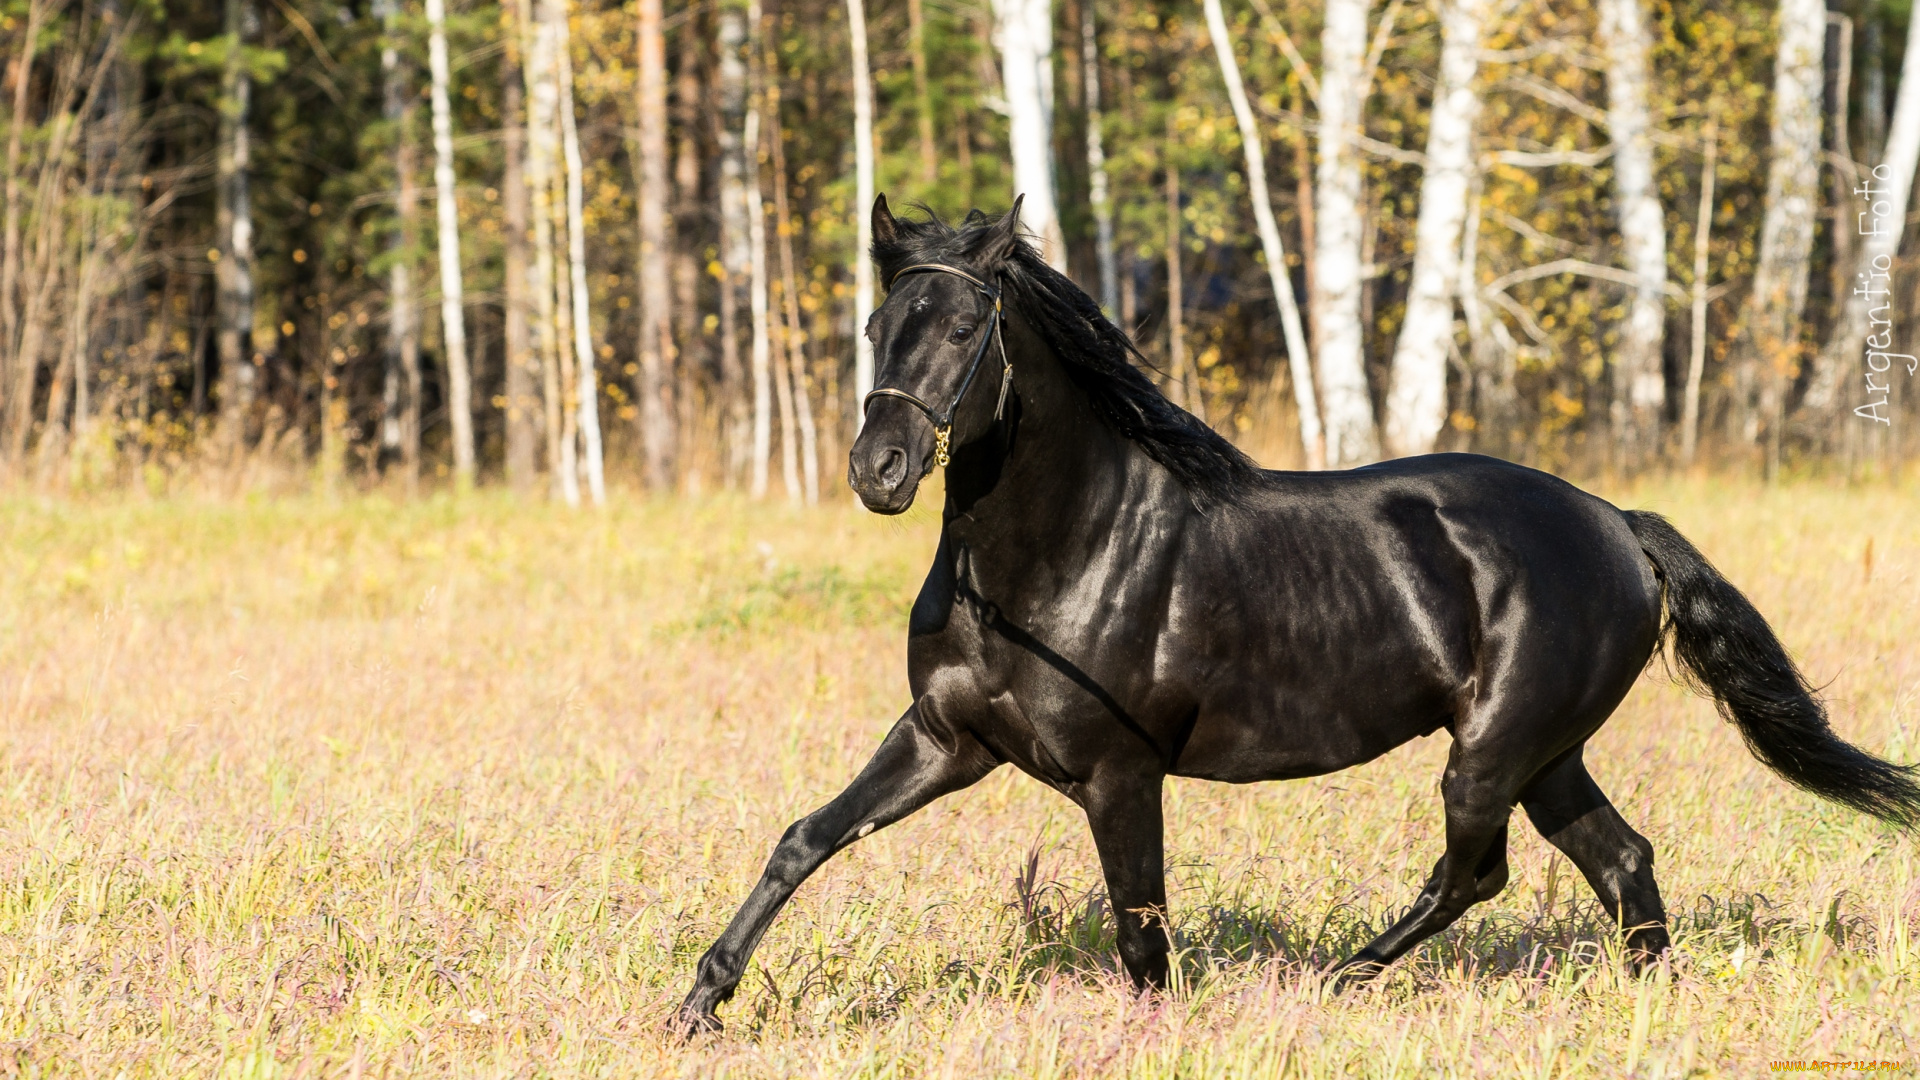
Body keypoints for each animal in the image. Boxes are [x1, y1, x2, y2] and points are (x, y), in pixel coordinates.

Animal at [672, 193, 1904, 1022]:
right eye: (879, 325)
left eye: (968, 329)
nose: (877, 471)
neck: (1055, 558)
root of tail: (1615, 522)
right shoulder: (944, 738)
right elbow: (805, 839)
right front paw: (700, 1003)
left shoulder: (1120, 774)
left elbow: (1143, 936)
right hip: (1547, 754)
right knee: (1623, 862)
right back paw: (1637, 1000)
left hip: (1492, 750)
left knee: (1478, 870)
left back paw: (1341, 976)